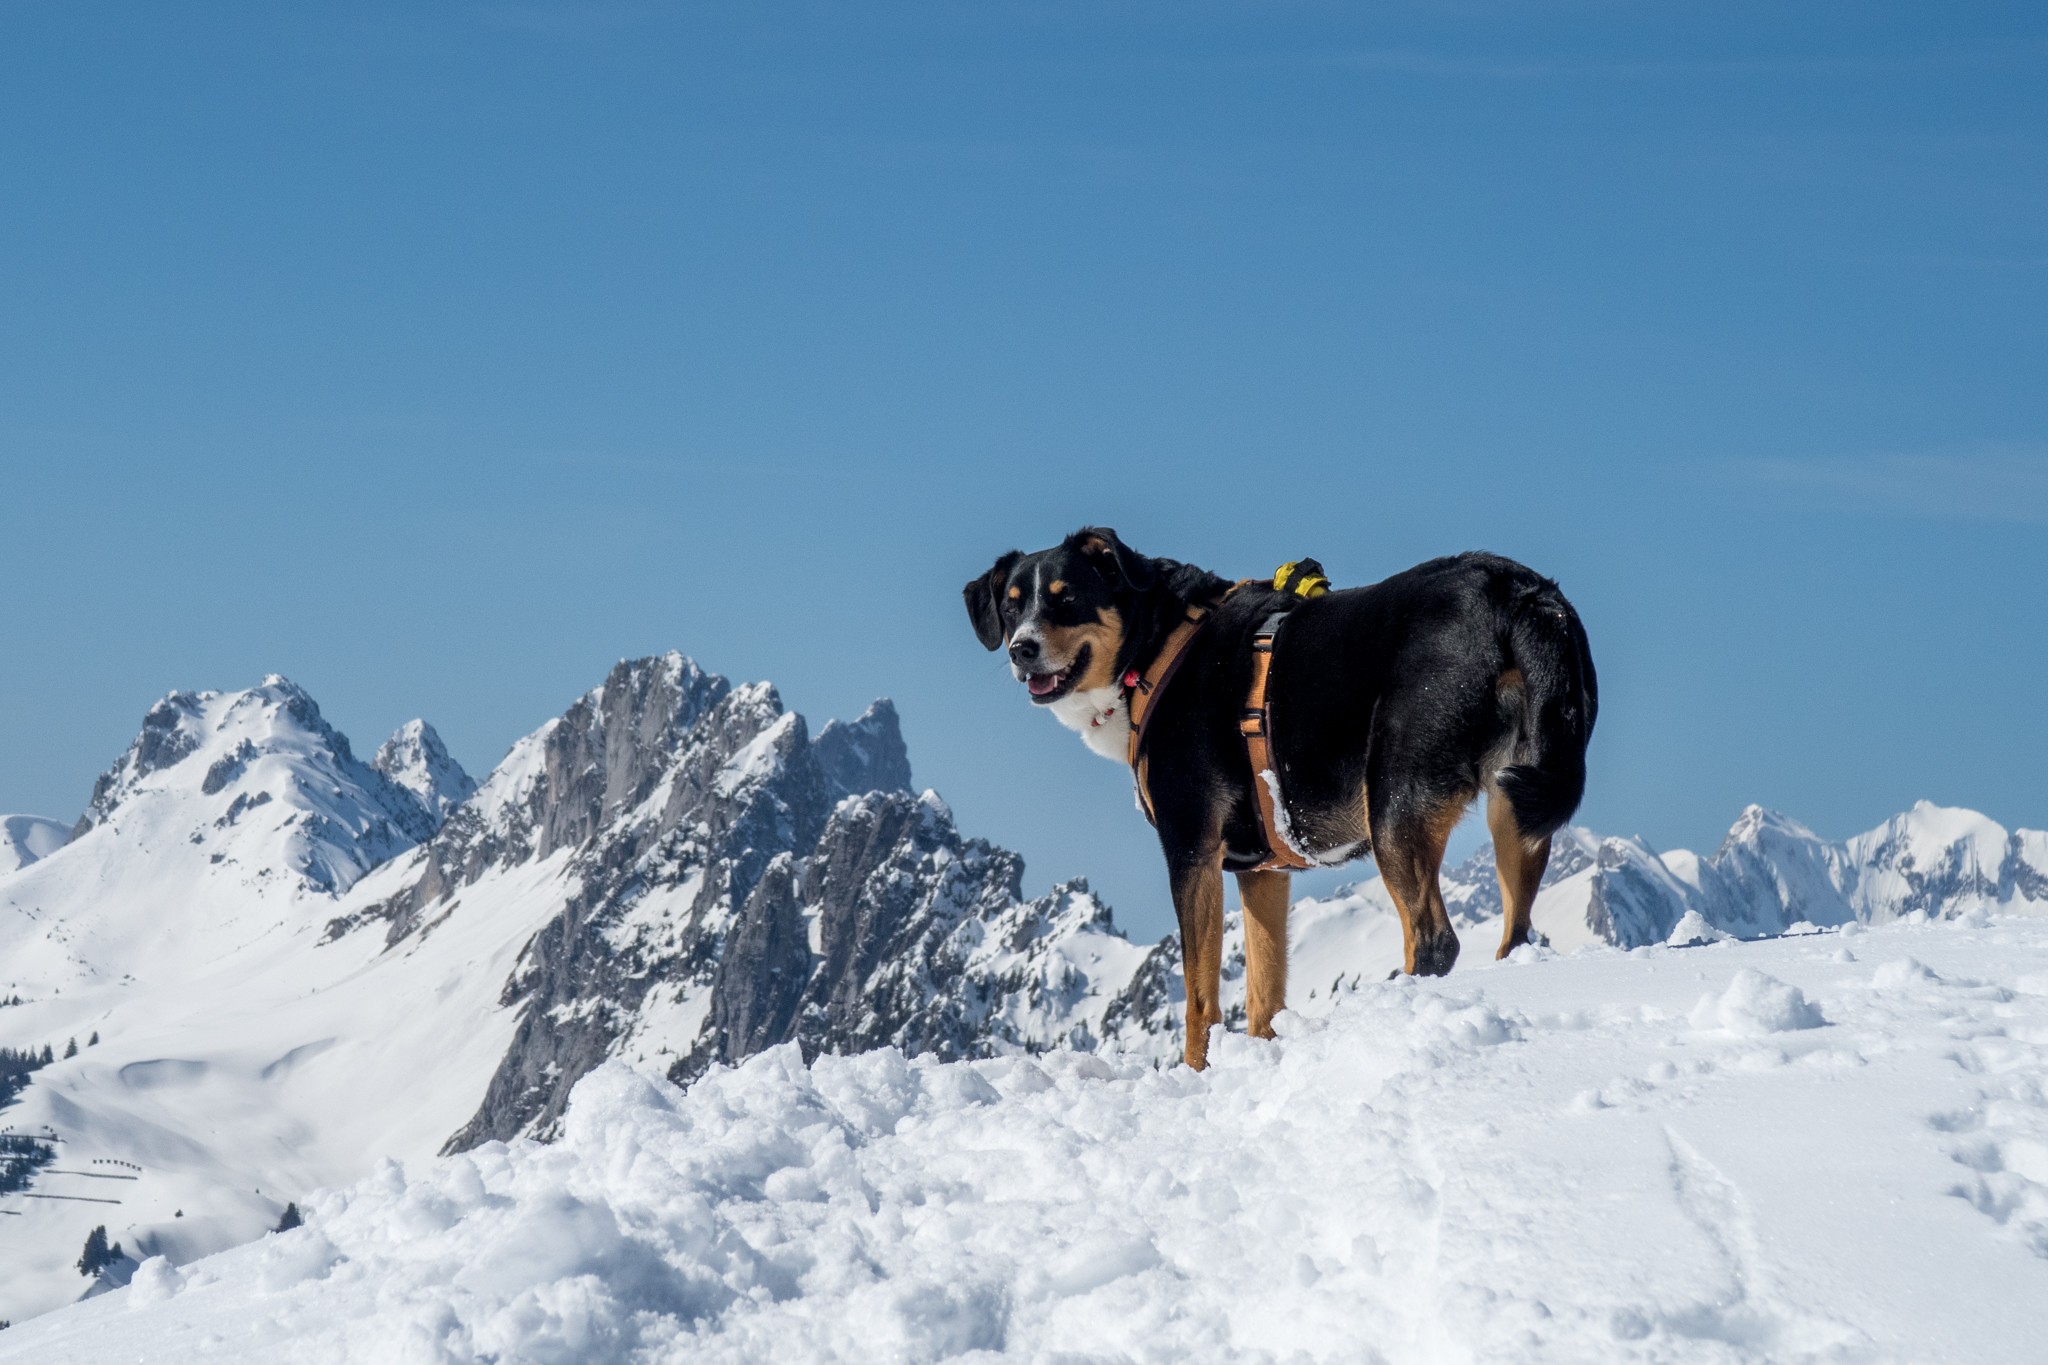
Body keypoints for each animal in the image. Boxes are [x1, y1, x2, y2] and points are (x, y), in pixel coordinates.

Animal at [964, 528, 1597, 1068]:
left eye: (1066, 599)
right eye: (1013, 605)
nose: (1020, 648)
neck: (1159, 645)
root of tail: (1519, 593)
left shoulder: (1191, 850)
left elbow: (1199, 999)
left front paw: (1197, 1076)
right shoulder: (1261, 871)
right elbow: (1263, 997)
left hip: (1395, 801)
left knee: (1433, 940)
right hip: (1517, 806)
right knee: (1516, 930)